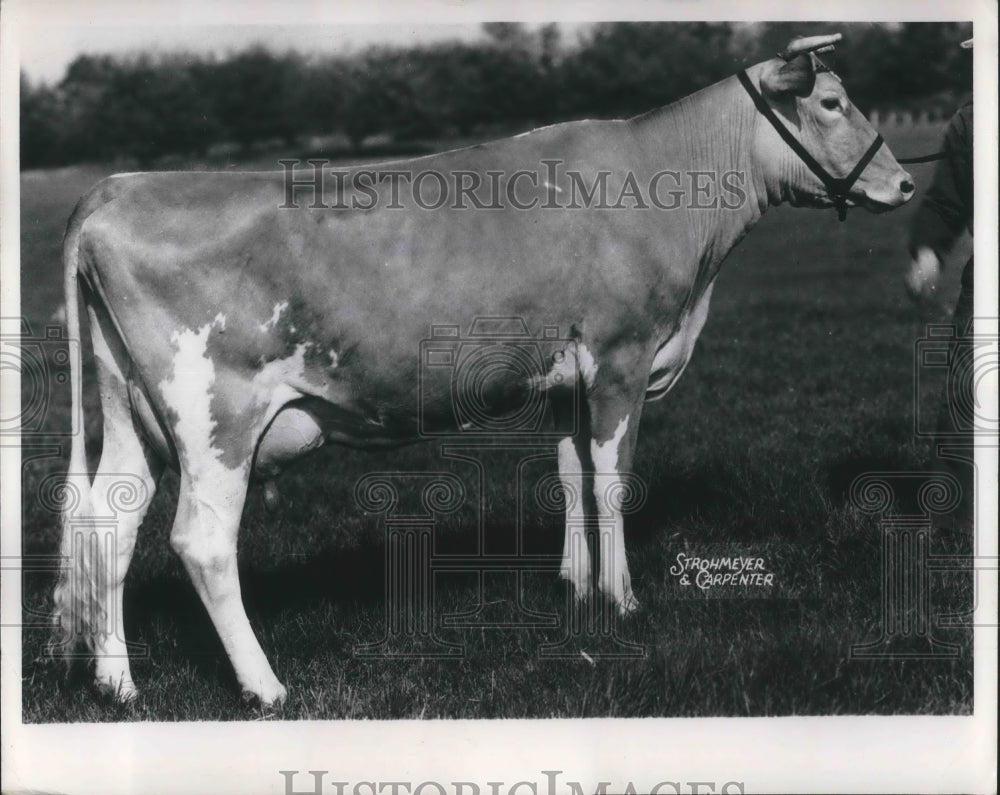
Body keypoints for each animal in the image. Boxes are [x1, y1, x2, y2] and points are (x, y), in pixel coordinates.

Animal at [53, 34, 913, 706]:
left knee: (108, 525)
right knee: (199, 540)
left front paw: (576, 585)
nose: (903, 181)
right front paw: (624, 600)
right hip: (214, 416)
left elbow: (570, 472)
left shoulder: (567, 376)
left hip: (131, 411)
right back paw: (264, 685)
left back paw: (118, 681)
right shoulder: (623, 356)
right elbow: (612, 479)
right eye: (831, 101)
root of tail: (113, 189)